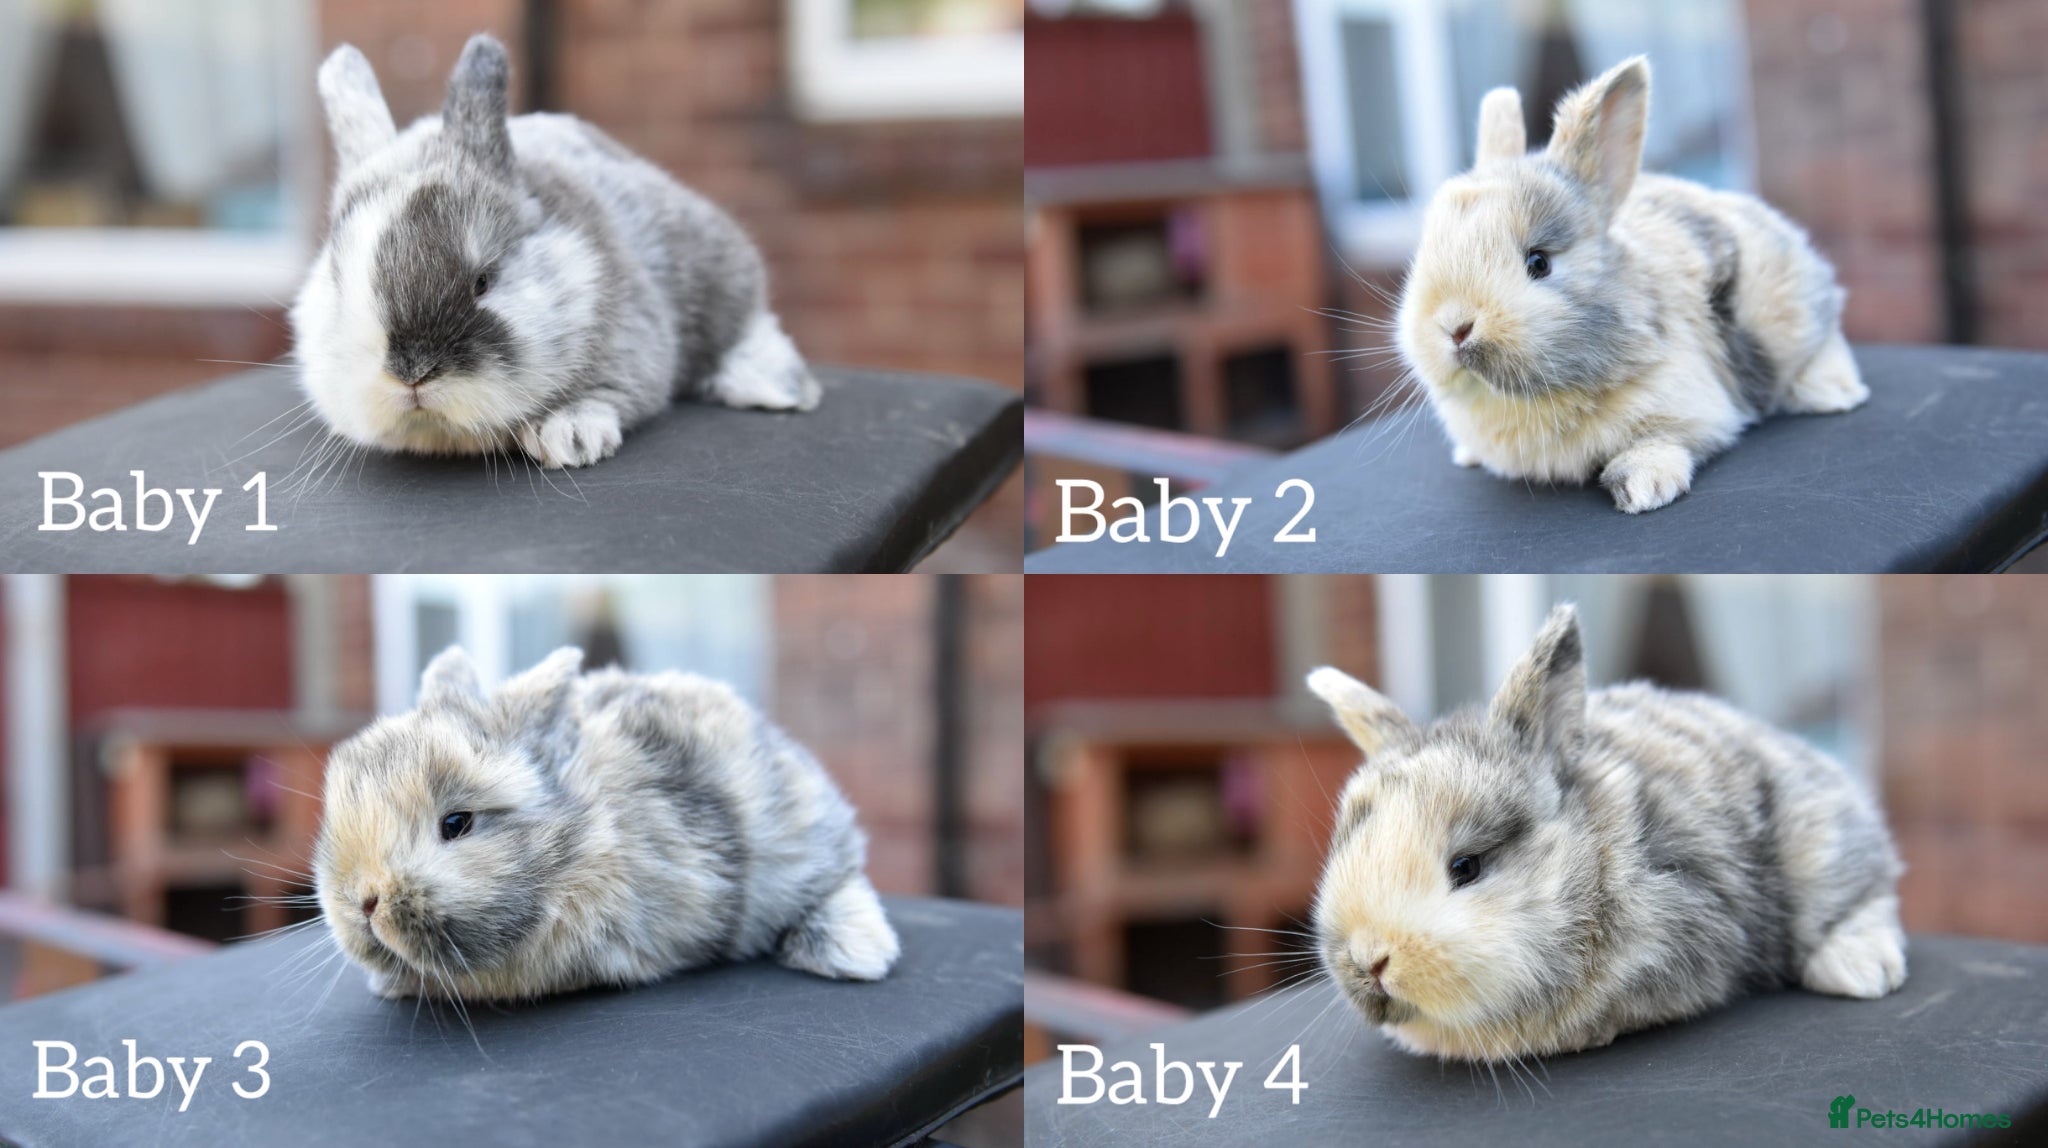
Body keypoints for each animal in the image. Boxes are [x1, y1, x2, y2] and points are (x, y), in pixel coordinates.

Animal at [290, 34, 820, 470]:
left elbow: (618, 389)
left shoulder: (635, 335)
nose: (411, 373)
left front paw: (570, 436)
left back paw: (782, 389)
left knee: (748, 324)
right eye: (338, 283)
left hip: (716, 265)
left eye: (483, 281)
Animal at [1304, 603, 1904, 1062]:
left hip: (1820, 849)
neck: (1590, 865)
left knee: (1868, 899)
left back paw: (1862, 970)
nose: (1369, 960)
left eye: (1466, 867)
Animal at [1397, 56, 1867, 513]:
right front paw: (1468, 455)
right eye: (1425, 252)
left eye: (1539, 262)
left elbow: (1661, 440)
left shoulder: (1686, 406)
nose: (1455, 327)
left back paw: (1833, 393)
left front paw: (1644, 489)